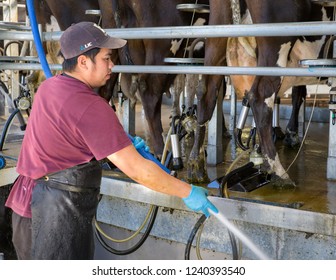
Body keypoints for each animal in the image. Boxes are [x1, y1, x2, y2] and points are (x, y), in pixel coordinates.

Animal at [200, 0, 334, 187]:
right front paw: (291, 134)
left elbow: (298, 92)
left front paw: (291, 134)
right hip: (277, 39)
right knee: (260, 96)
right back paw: (279, 173)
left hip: (217, 34)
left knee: (207, 95)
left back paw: (196, 166)